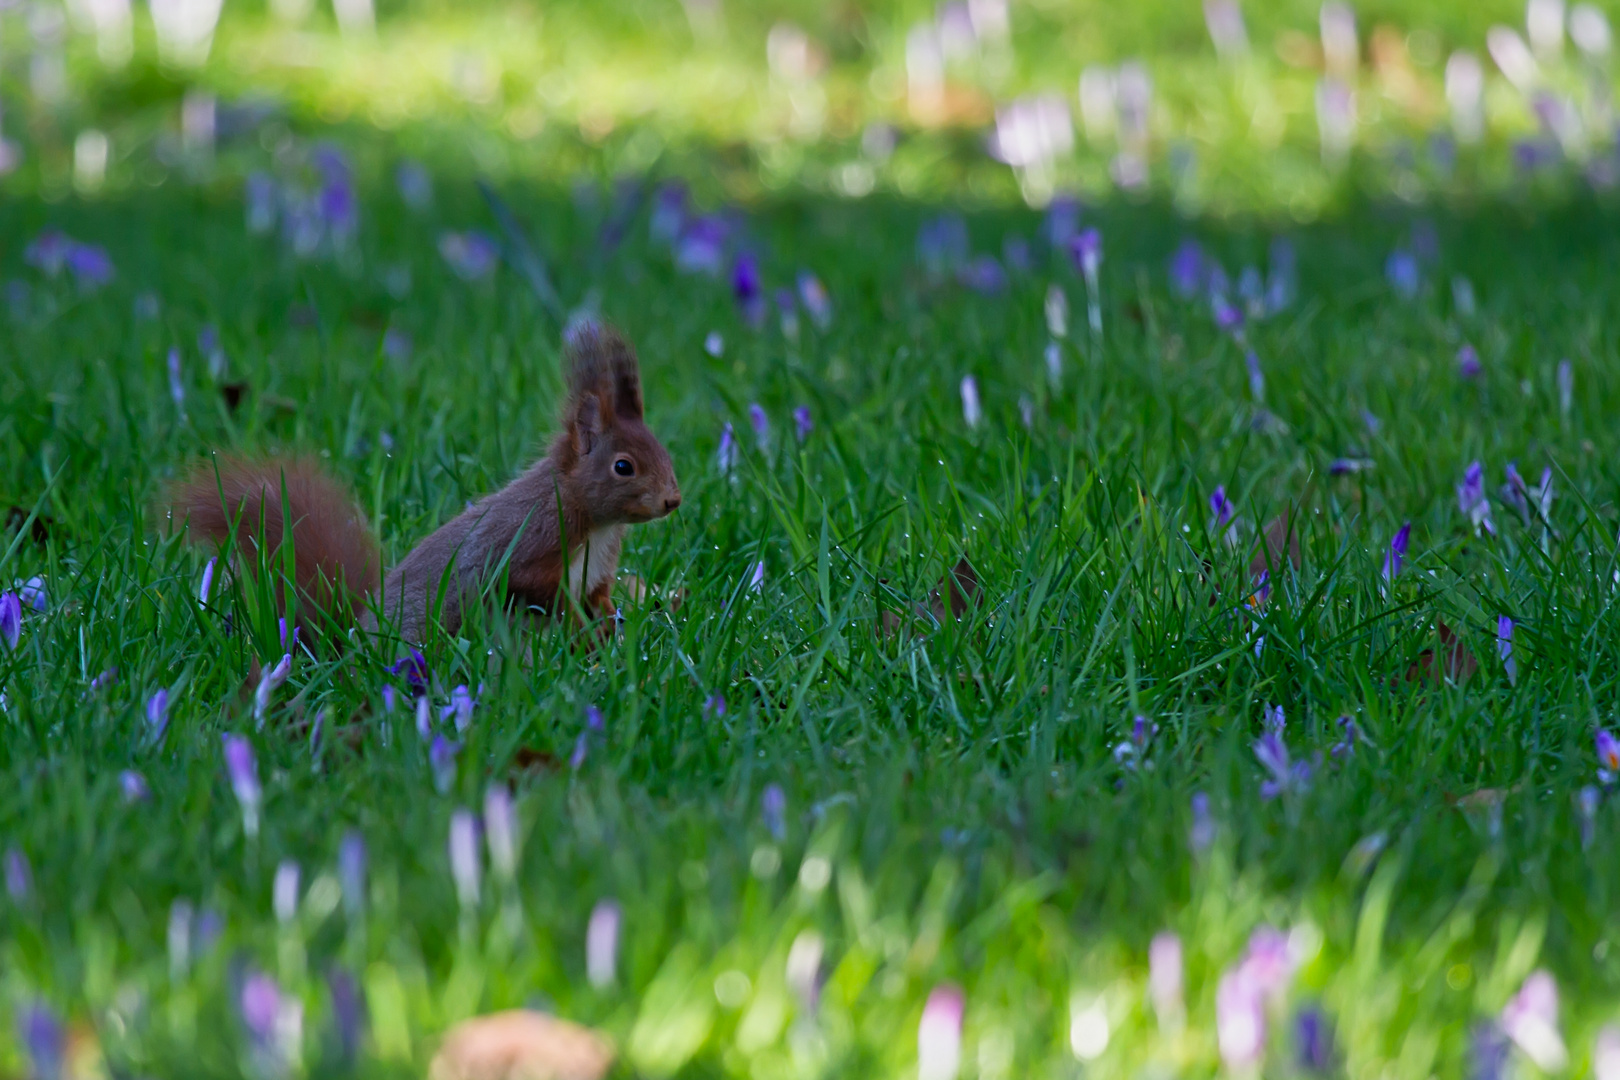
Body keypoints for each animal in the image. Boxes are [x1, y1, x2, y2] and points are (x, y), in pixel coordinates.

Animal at [172, 320, 683, 641]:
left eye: (664, 451)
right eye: (624, 467)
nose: (672, 501)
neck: (593, 521)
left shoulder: (599, 568)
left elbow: (599, 596)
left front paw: (613, 619)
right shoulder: (529, 540)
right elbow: (528, 586)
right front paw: (582, 623)